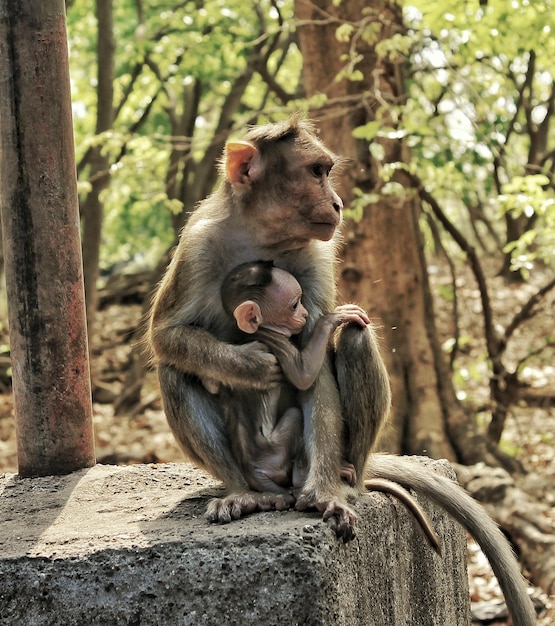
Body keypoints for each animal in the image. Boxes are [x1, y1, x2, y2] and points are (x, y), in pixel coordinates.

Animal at [213, 260, 444, 552]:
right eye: (294, 305)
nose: (303, 314)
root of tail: (253, 472)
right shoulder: (275, 341)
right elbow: (302, 374)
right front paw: (330, 321)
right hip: (273, 453)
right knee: (295, 416)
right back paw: (306, 478)